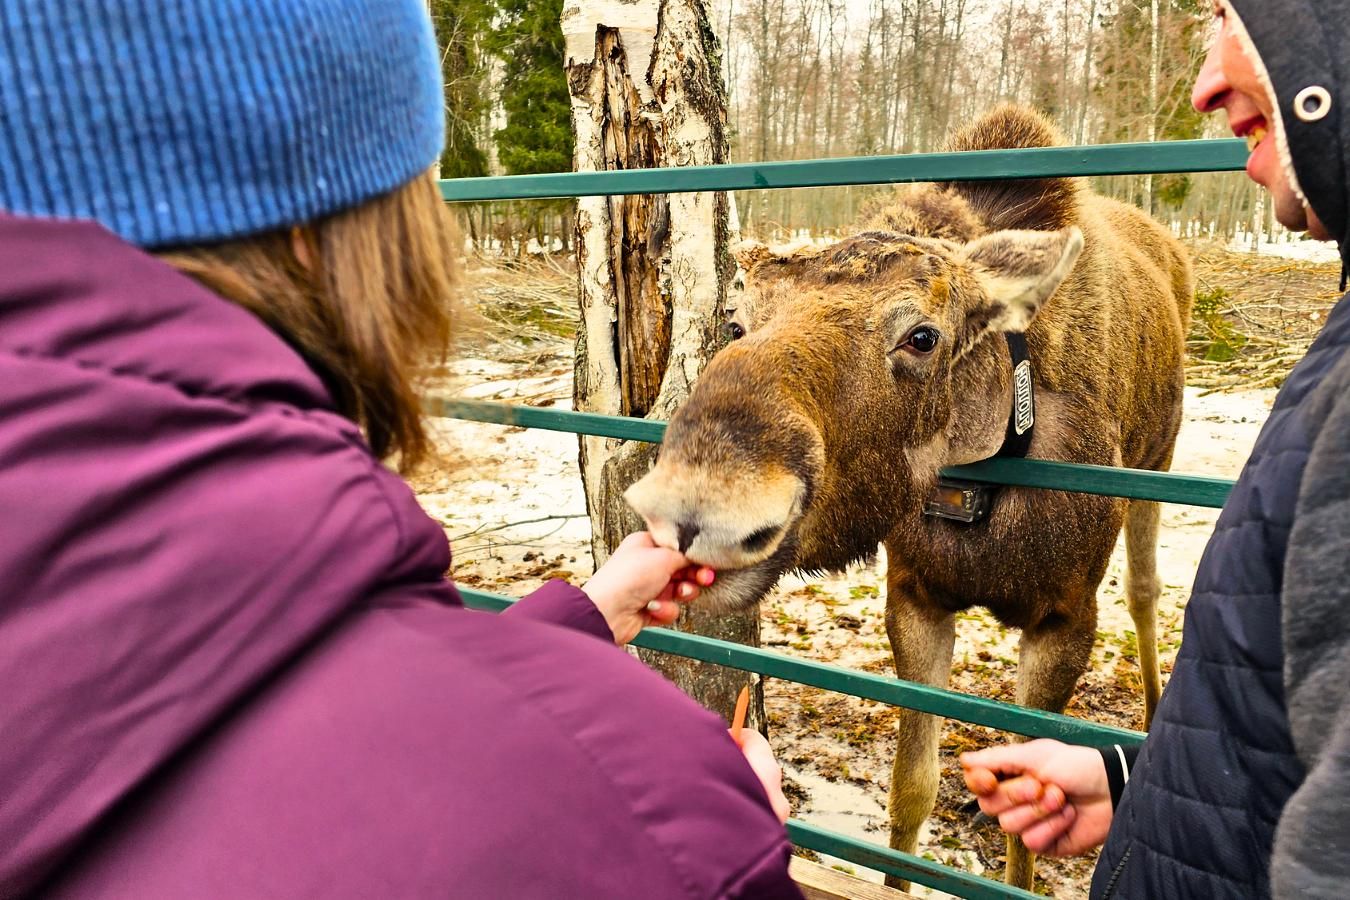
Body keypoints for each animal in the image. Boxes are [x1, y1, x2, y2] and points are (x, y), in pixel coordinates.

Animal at [623, 103, 1193, 885]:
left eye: (922, 336)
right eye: (736, 324)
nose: (696, 506)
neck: (979, 496)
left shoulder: (1067, 620)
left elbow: (1028, 837)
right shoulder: (915, 600)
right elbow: (911, 791)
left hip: (1158, 461)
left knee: (1145, 589)